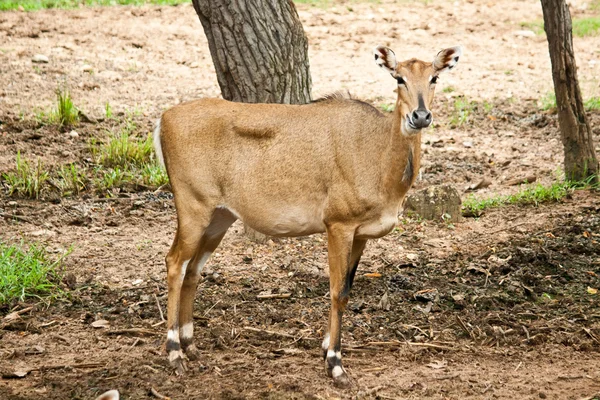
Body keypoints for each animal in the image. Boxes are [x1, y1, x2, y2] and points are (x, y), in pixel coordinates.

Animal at [154, 45, 460, 386]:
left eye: (434, 78)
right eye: (399, 78)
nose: (420, 116)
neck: (380, 156)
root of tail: (164, 119)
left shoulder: (361, 234)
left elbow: (348, 286)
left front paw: (327, 347)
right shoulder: (338, 224)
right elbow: (338, 291)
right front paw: (335, 363)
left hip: (219, 216)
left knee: (193, 269)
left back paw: (191, 347)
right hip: (193, 206)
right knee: (175, 263)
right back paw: (175, 354)